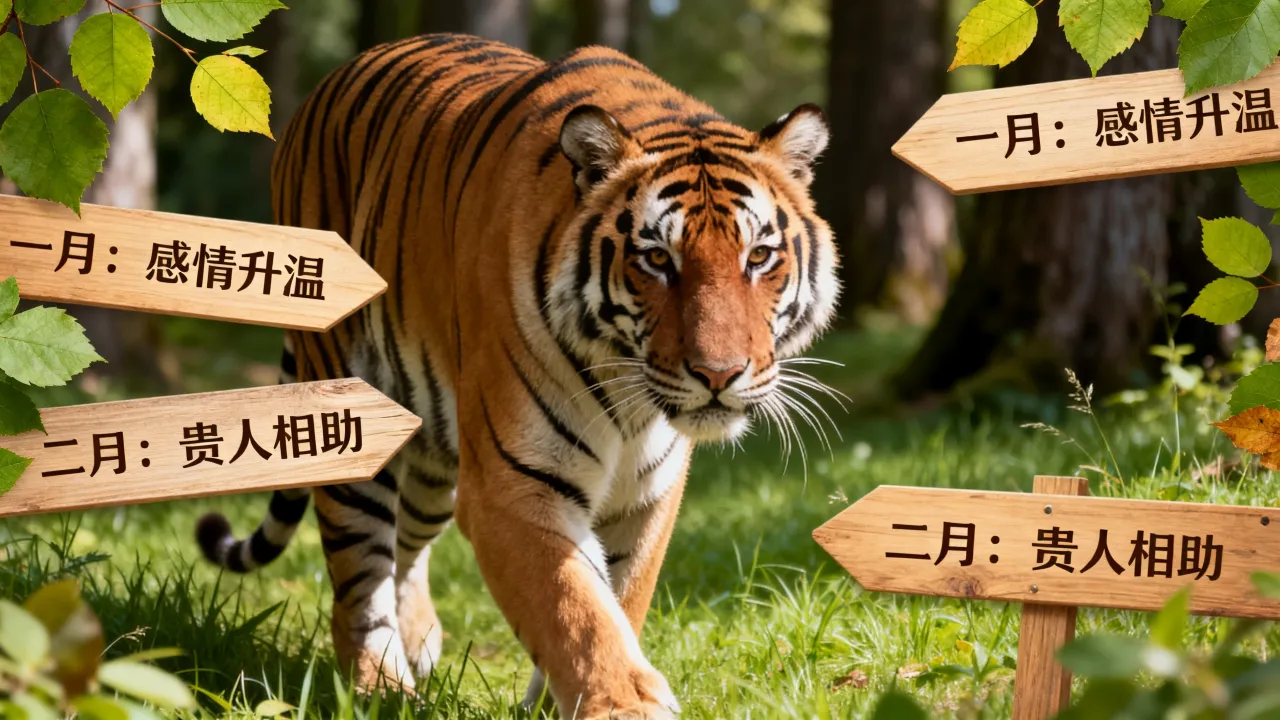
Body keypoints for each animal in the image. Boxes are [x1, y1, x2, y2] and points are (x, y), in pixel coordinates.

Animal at [195, 33, 839, 719]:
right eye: (657, 259)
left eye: (759, 256)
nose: (719, 374)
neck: (631, 403)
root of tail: (331, 81)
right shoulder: (515, 484)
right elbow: (575, 608)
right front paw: (622, 702)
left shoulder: (646, 493)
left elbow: (619, 597)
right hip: (348, 413)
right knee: (358, 579)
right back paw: (381, 687)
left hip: (435, 456)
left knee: (404, 547)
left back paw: (419, 644)